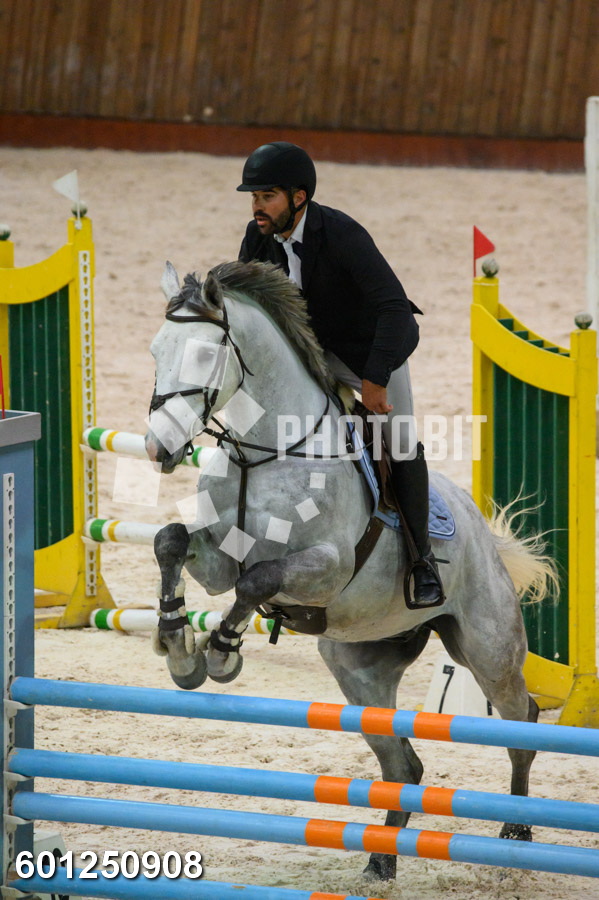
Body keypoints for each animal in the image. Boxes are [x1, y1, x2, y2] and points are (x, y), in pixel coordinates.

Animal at [145, 259, 556, 881]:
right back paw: (381, 861)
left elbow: (257, 581)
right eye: (155, 350)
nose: (156, 447)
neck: (262, 451)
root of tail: (485, 536)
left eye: (202, 355)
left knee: (520, 720)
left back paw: (516, 830)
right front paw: (177, 645)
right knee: (403, 766)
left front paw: (220, 654)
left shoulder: (327, 566)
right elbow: (172, 543)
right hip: (359, 668)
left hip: (487, 650)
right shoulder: (217, 559)